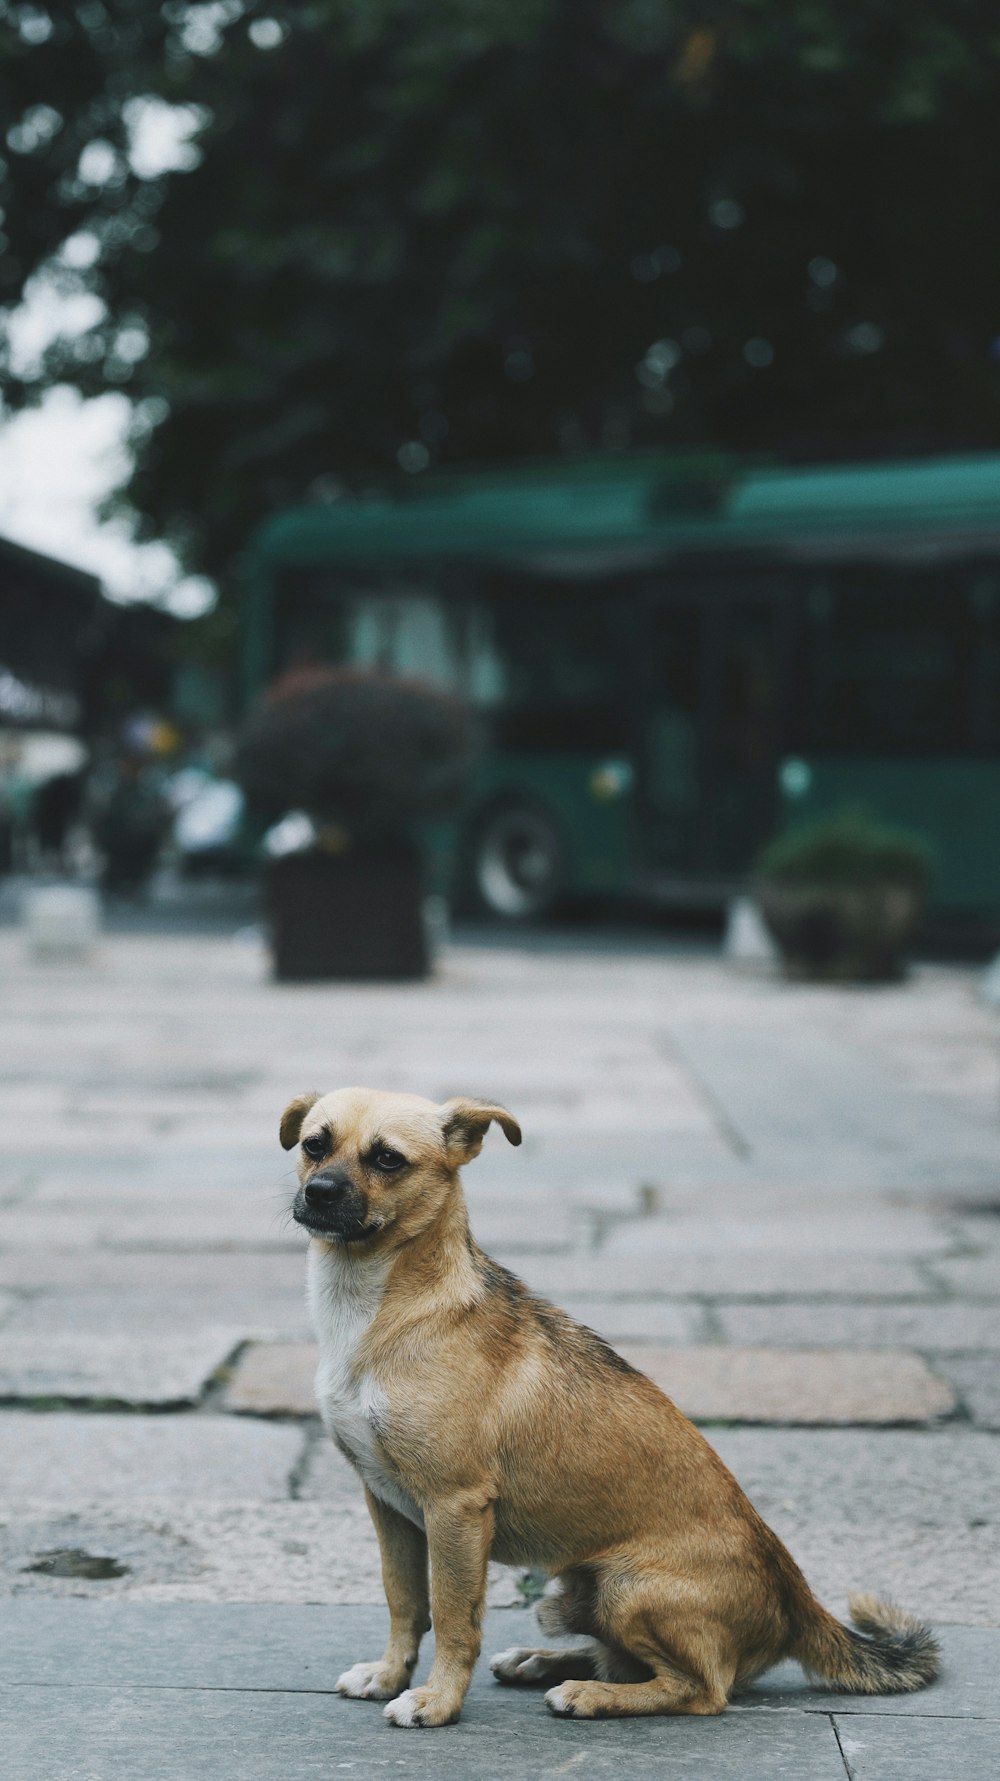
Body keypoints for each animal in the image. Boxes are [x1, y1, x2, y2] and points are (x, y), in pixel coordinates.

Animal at [281, 1082, 934, 1724]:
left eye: (388, 1159)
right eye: (314, 1145)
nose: (318, 1192)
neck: (374, 1309)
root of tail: (795, 1597)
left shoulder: (454, 1508)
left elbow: (453, 1617)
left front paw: (437, 1701)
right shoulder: (387, 1504)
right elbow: (404, 1600)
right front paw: (389, 1675)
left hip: (625, 1588)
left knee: (700, 1689)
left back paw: (590, 1695)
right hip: (573, 1594)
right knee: (623, 1661)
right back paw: (542, 1661)